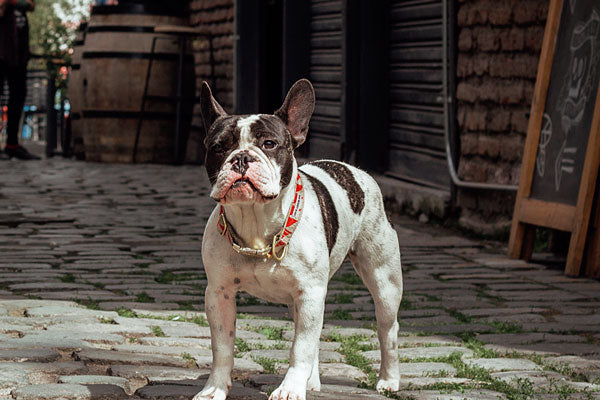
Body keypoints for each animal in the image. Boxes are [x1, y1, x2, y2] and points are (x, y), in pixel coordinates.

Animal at [197, 79, 404, 400]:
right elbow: (222, 347)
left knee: (387, 329)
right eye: (218, 147)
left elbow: (301, 347)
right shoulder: (220, 294)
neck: (257, 224)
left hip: (384, 281)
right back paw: (313, 380)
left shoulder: (309, 293)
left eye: (269, 144)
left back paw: (388, 380)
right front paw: (214, 388)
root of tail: (352, 168)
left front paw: (290, 388)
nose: (242, 157)